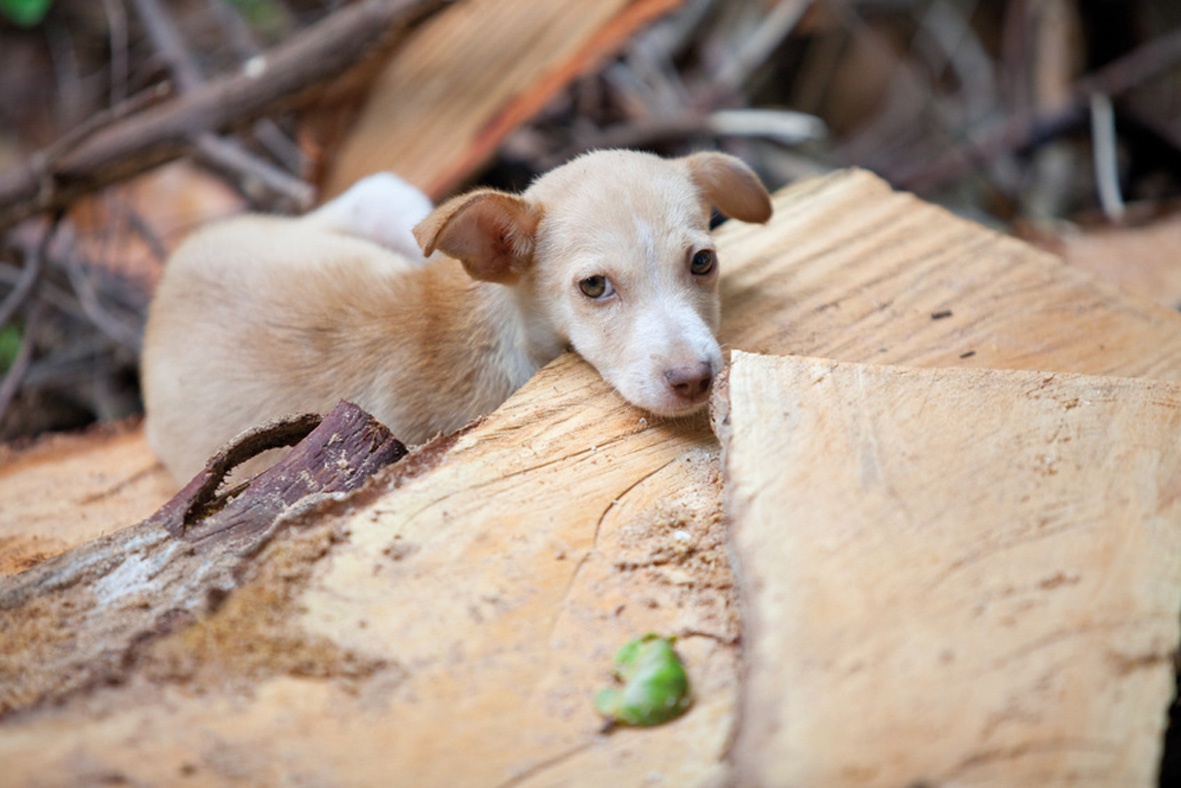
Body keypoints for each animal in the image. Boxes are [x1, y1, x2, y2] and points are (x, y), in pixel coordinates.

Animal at [142, 147, 770, 482]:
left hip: (383, 195)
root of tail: (166, 279)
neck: (501, 326)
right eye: (594, 286)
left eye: (703, 261)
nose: (695, 379)